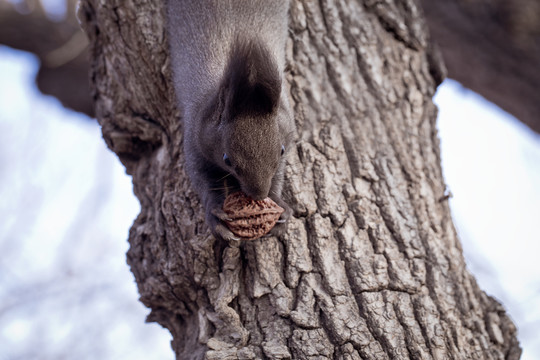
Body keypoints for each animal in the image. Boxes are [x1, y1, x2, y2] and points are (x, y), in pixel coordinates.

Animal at [169, 1, 296, 242]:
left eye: (282, 150)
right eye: (227, 159)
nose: (259, 194)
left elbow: (279, 172)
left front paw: (280, 205)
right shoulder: (194, 140)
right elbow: (202, 179)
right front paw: (216, 213)